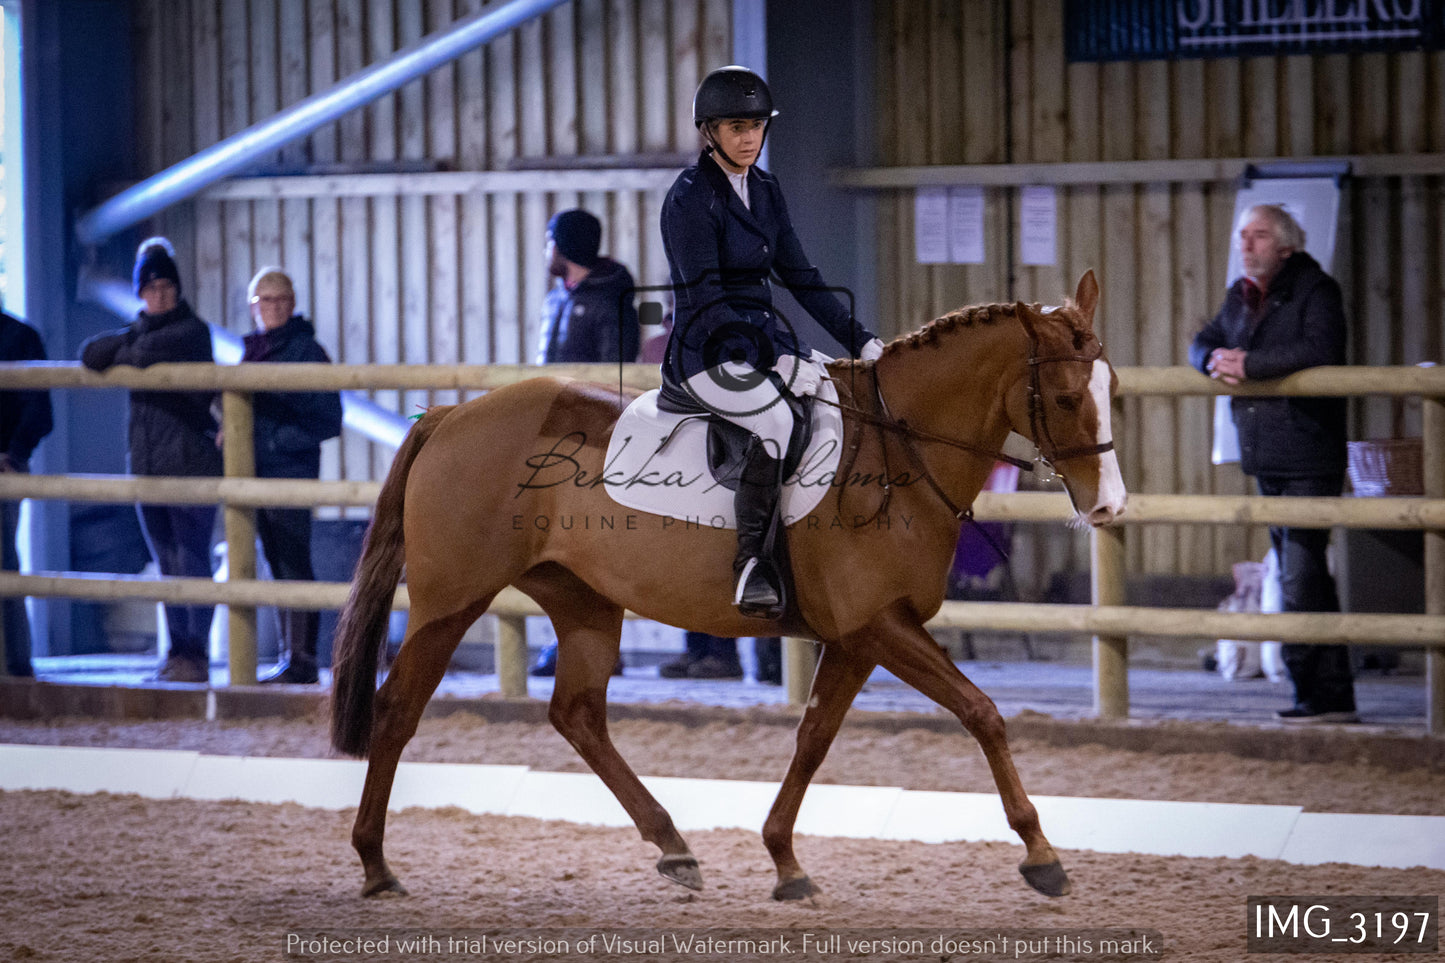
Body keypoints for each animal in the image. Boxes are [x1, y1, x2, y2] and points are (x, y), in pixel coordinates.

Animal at [330, 267, 1127, 902]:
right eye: (1062, 397)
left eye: (1111, 388)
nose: (1107, 506)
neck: (900, 449)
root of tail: (450, 415)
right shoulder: (879, 626)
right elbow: (981, 711)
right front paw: (1041, 855)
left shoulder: (857, 637)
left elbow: (814, 736)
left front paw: (784, 861)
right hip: (450, 602)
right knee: (396, 710)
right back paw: (374, 864)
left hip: (582, 599)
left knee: (578, 715)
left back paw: (674, 847)